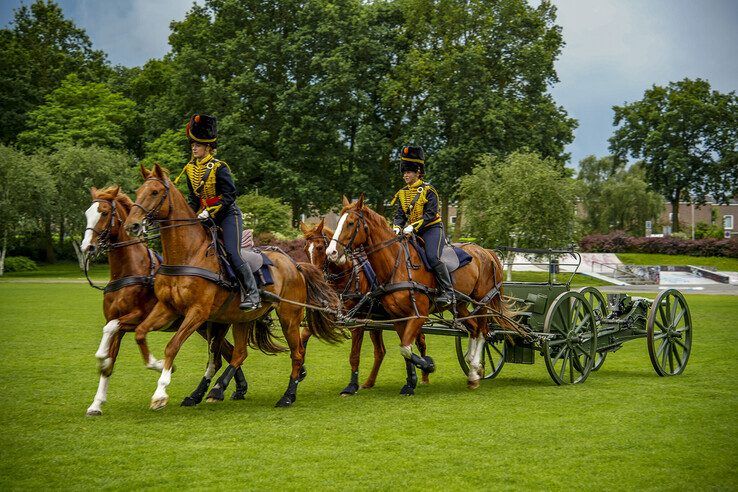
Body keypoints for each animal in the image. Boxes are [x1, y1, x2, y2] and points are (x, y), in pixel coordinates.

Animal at [81, 187, 244, 416]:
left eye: (104, 213)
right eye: (87, 214)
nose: (87, 247)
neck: (129, 269)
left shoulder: (138, 317)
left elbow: (113, 329)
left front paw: (160, 367)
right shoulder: (121, 322)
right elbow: (110, 361)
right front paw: (96, 404)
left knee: (227, 353)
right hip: (205, 326)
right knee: (227, 352)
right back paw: (235, 389)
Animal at [126, 163, 342, 410]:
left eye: (154, 192)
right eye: (138, 191)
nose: (132, 225)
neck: (188, 255)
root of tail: (294, 264)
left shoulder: (197, 313)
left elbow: (173, 345)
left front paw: (160, 393)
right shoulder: (168, 308)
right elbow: (141, 332)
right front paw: (155, 364)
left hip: (289, 316)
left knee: (296, 353)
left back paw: (287, 395)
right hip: (241, 318)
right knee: (239, 353)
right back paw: (215, 389)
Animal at [298, 220, 426, 396]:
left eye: (319, 247)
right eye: (305, 249)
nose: (314, 276)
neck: (346, 276)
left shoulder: (356, 322)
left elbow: (354, 356)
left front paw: (351, 386)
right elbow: (304, 335)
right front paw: (300, 369)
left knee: (420, 342)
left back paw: (425, 376)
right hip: (376, 323)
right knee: (380, 351)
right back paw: (370, 382)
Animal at [324, 195, 520, 392]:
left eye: (350, 223)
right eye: (338, 222)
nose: (331, 253)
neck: (397, 265)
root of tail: (486, 252)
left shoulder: (419, 315)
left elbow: (406, 348)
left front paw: (427, 365)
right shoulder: (398, 318)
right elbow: (406, 349)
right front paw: (411, 382)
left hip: (482, 302)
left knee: (483, 332)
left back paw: (473, 371)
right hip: (461, 304)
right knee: (473, 328)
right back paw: (473, 367)